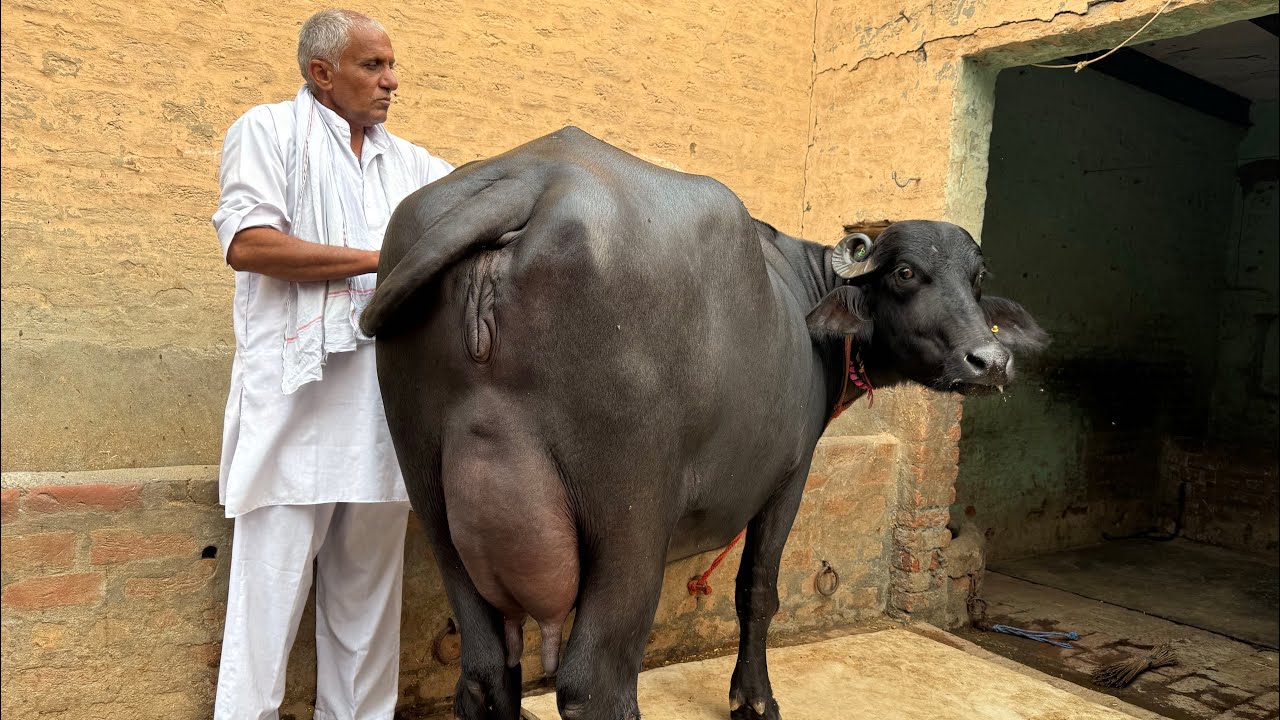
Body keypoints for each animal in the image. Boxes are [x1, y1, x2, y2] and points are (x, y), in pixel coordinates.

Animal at [359, 127, 1046, 720]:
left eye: (976, 279)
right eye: (906, 272)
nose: (989, 361)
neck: (804, 304)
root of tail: (530, 181)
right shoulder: (790, 475)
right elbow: (758, 590)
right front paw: (755, 700)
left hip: (433, 498)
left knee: (483, 673)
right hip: (630, 515)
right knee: (596, 683)